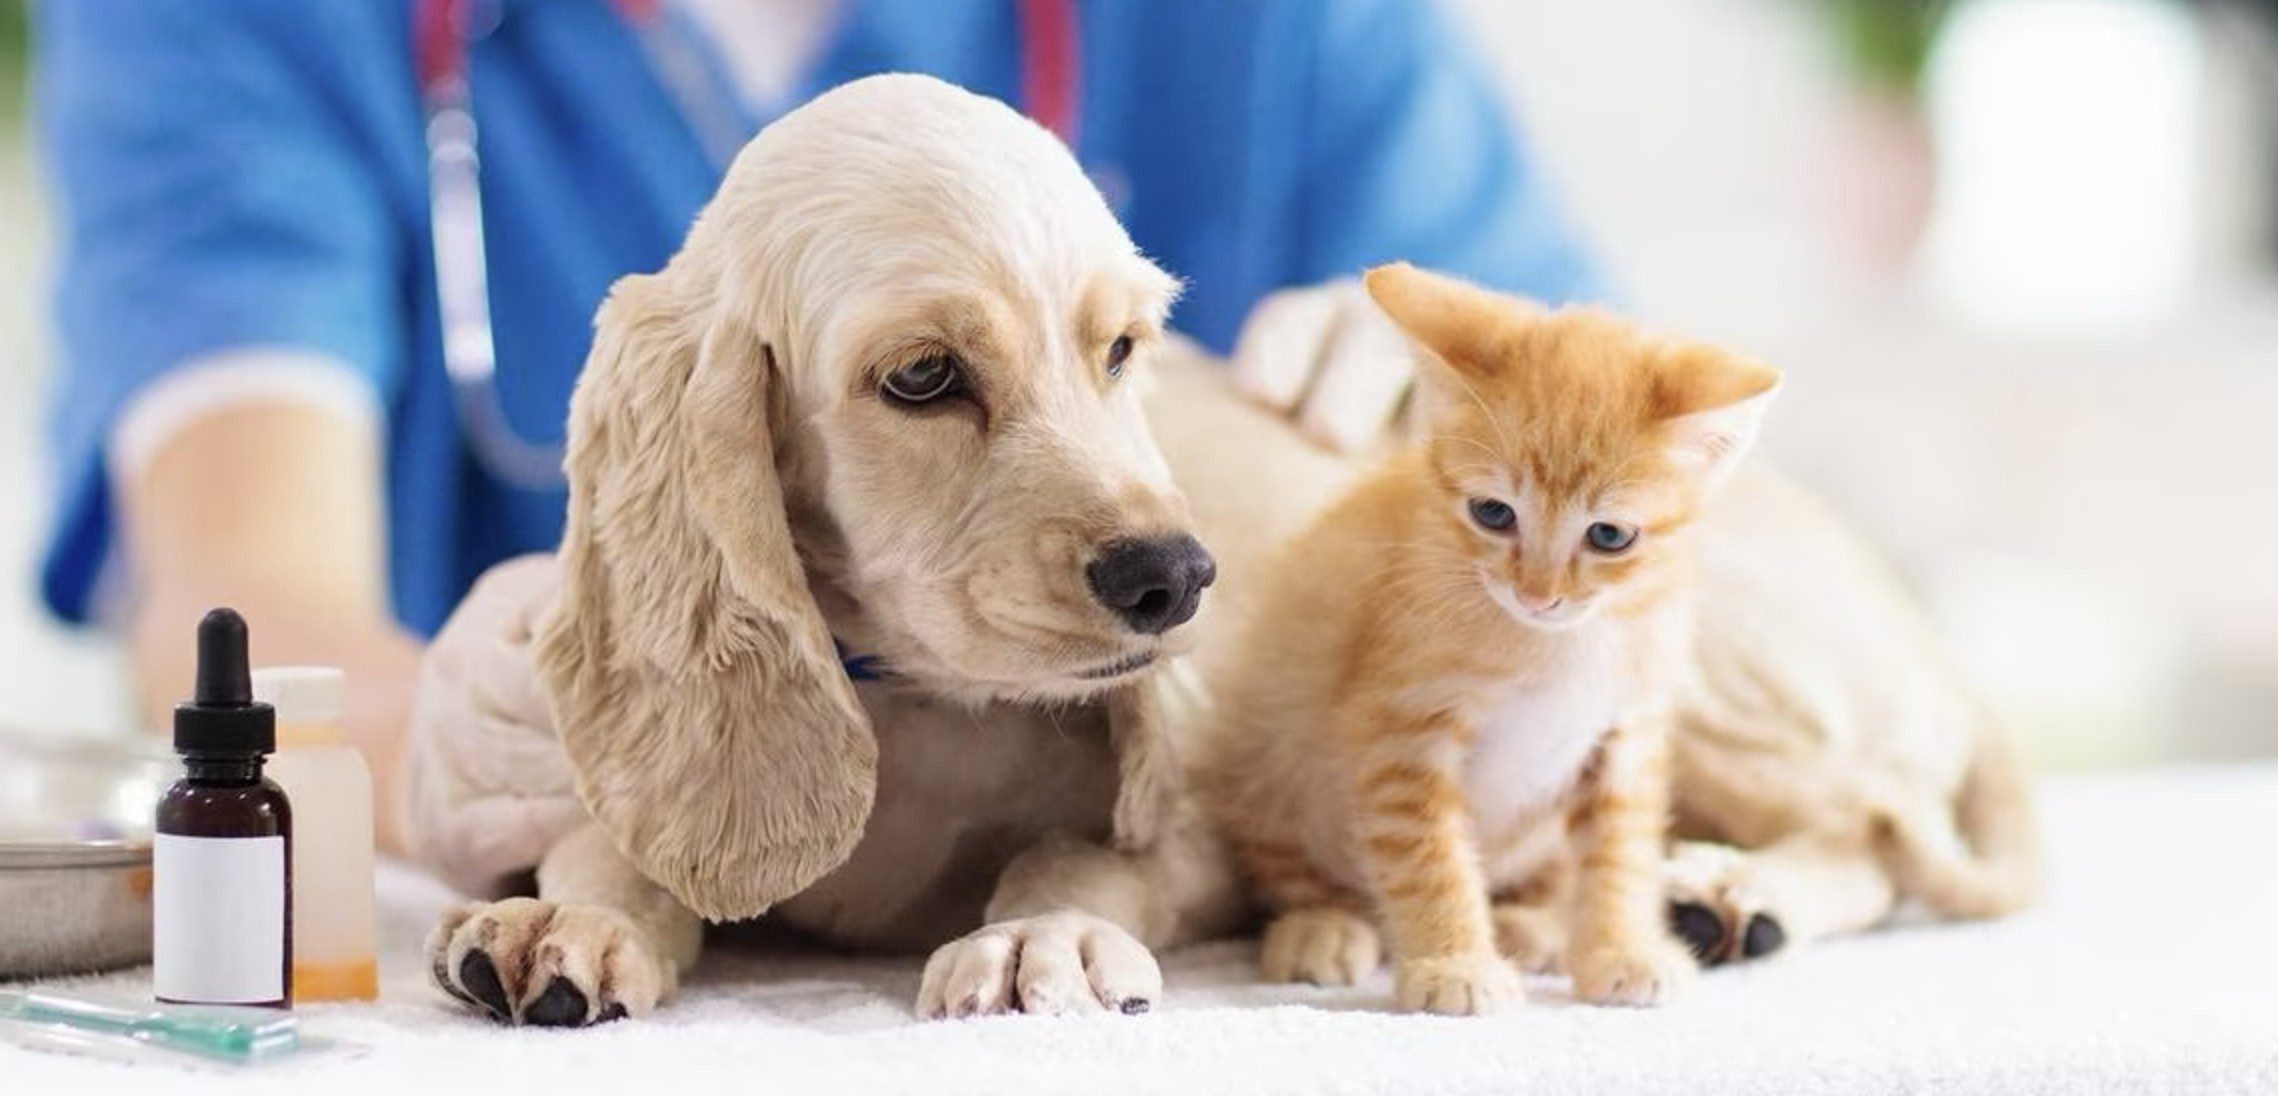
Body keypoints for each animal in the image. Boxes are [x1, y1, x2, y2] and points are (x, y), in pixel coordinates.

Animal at [1193, 260, 1776, 1011]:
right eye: (1493, 513)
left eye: (1609, 535)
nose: (1537, 593)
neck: (1561, 647)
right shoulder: (1401, 734)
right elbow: (1428, 858)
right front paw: (1455, 964)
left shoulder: (1626, 736)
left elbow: (1619, 854)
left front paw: (1621, 947)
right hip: (1270, 754)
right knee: (1293, 863)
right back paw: (1322, 927)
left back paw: (1533, 925)